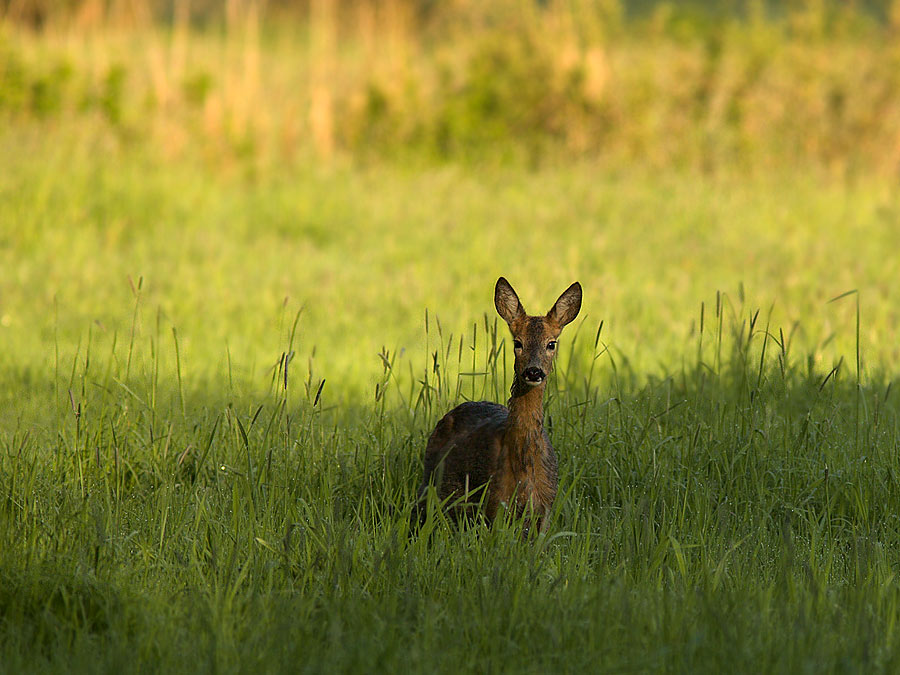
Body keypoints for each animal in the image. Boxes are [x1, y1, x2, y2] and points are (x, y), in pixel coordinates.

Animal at [414, 278, 584, 536]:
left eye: (551, 343)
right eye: (518, 343)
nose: (533, 371)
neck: (524, 466)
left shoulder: (545, 505)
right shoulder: (494, 501)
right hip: (434, 484)